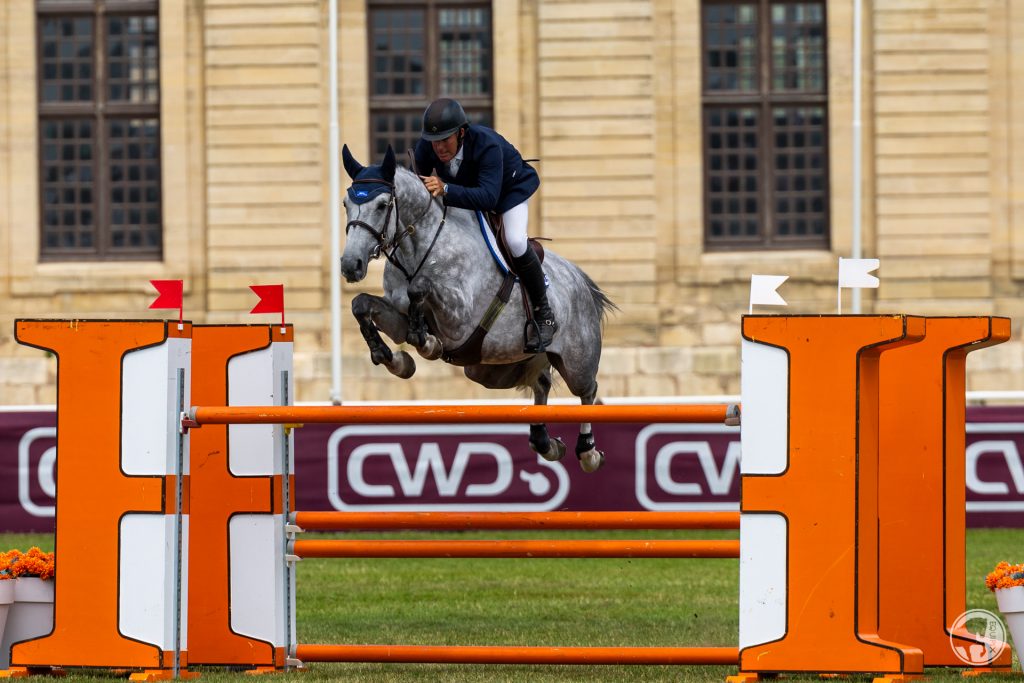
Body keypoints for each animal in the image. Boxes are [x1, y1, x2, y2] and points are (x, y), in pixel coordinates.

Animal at [342, 146, 614, 473]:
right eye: (345, 203)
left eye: (383, 205)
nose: (350, 265)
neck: (417, 251)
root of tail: (582, 281)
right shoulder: (399, 316)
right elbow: (362, 305)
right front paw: (395, 360)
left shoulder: (459, 319)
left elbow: (419, 289)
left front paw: (427, 343)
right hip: (490, 369)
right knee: (541, 382)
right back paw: (546, 444)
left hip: (576, 362)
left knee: (588, 391)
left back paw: (588, 452)